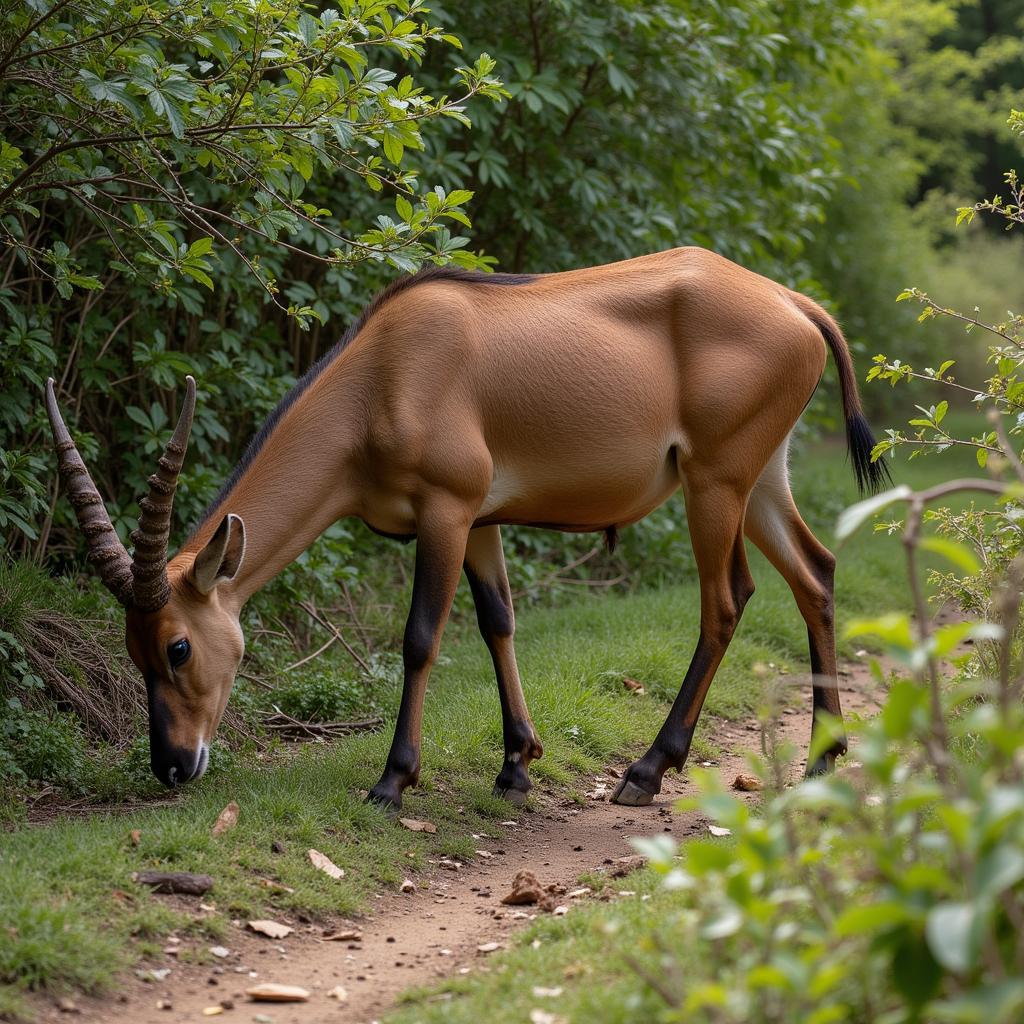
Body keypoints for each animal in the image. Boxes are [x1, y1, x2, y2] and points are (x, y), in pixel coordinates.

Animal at [46, 247, 888, 806]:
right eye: (133, 650)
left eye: (177, 646)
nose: (173, 763)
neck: (383, 371)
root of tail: (796, 306)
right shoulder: (482, 520)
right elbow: (496, 621)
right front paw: (517, 764)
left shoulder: (445, 512)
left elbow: (421, 637)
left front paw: (393, 778)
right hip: (762, 477)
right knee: (815, 573)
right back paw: (824, 756)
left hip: (715, 481)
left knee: (726, 600)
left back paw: (647, 771)